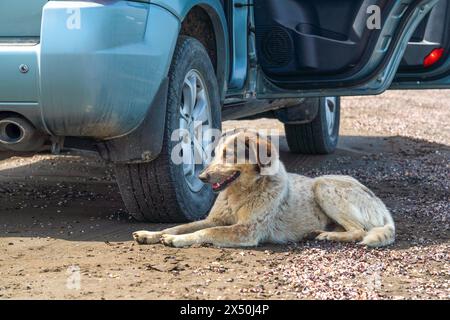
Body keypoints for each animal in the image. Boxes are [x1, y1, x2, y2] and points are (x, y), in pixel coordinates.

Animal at [133, 129, 394, 248]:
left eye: (228, 155)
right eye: (215, 153)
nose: (202, 177)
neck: (240, 192)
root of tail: (382, 206)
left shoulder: (246, 231)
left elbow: (205, 232)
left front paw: (177, 240)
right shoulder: (214, 219)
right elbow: (180, 225)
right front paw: (152, 234)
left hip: (323, 184)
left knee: (359, 230)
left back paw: (328, 235)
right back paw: (321, 232)